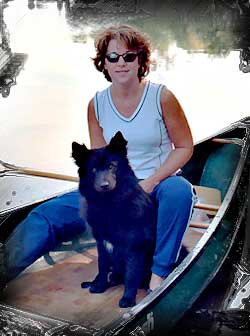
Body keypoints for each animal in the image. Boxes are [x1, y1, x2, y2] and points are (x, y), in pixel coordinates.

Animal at [71, 131, 155, 308]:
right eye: (94, 169)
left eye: (111, 166)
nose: (104, 185)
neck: (109, 204)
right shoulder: (101, 243)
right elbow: (102, 266)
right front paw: (99, 287)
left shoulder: (134, 246)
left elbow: (131, 274)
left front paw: (128, 299)